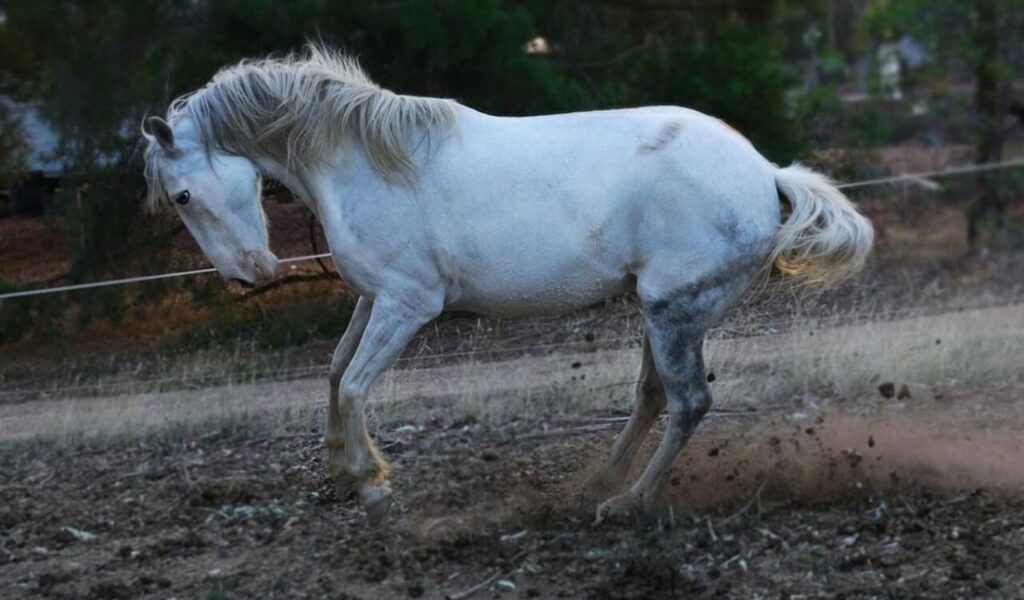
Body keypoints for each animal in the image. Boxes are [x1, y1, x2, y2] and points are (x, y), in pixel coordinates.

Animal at [142, 47, 873, 525]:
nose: (249, 274)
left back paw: (627, 503)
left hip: (676, 311)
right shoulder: (374, 298)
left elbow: (353, 385)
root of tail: (766, 175)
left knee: (689, 402)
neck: (368, 164)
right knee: (652, 396)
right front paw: (344, 470)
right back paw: (598, 482)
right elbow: (334, 370)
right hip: (661, 311)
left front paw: (372, 489)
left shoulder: (408, 305)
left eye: (181, 195)